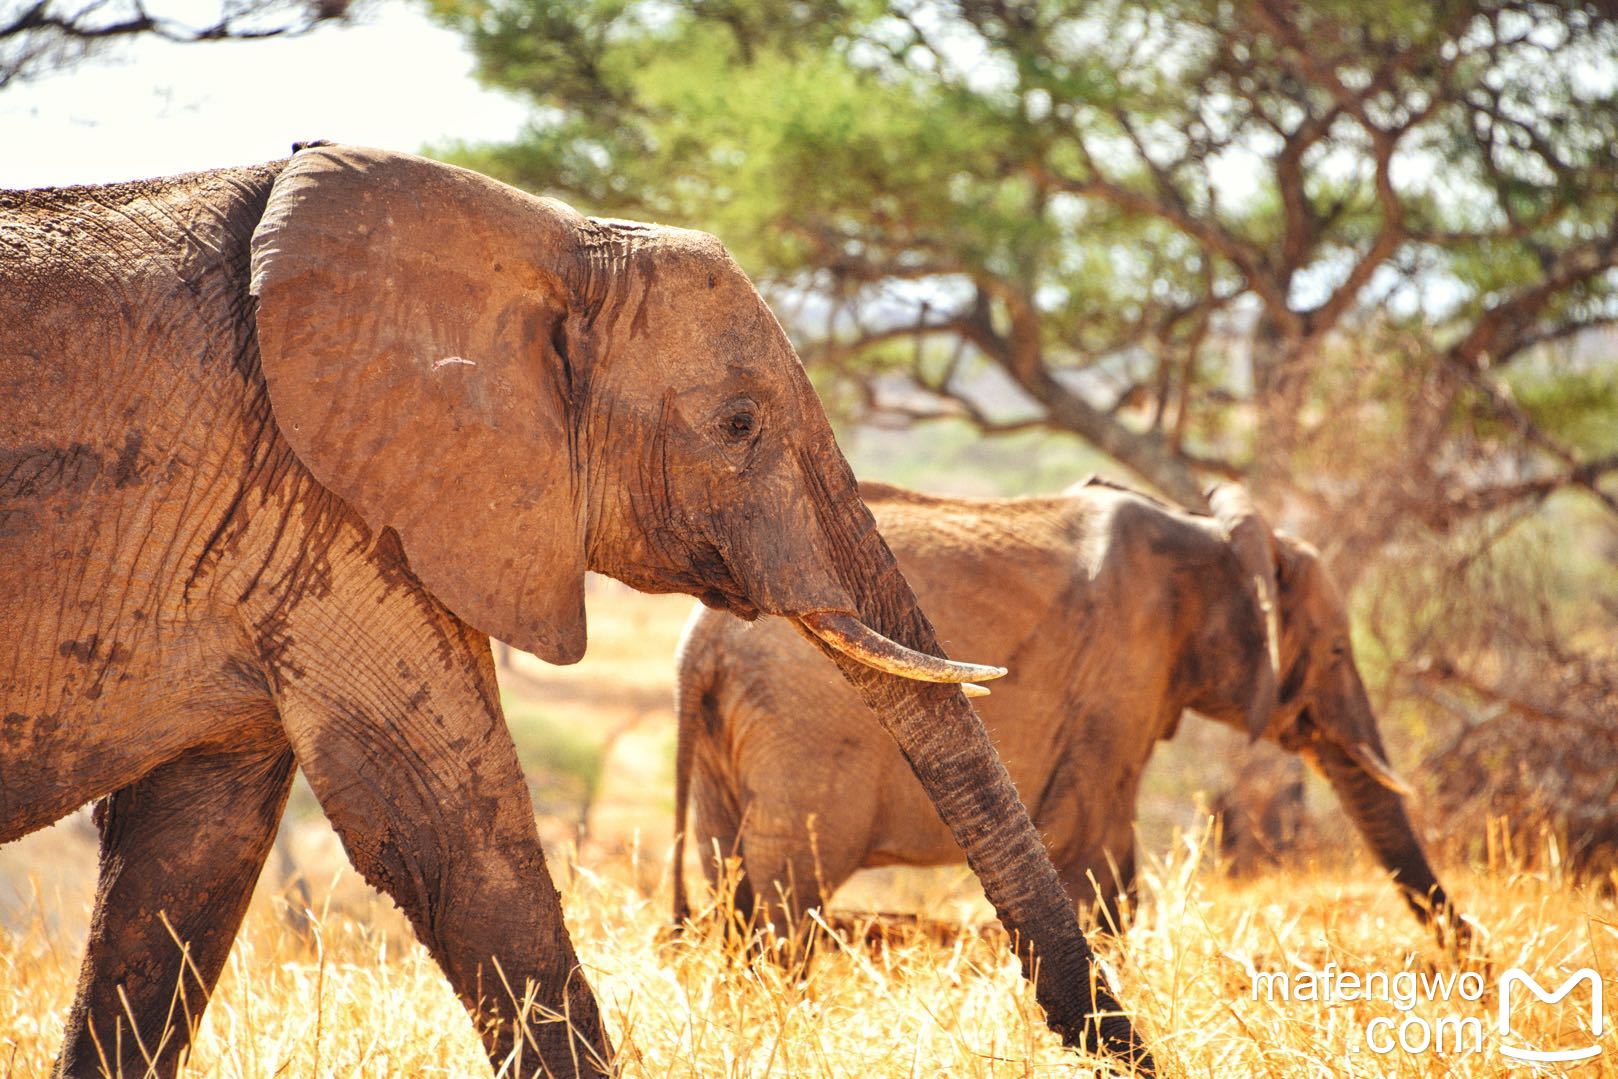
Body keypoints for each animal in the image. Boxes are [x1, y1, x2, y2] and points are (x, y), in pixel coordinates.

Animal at [0, 145, 1152, 1079]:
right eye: (740, 423)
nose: (1126, 1050)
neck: (545, 238)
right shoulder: (326, 498)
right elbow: (454, 833)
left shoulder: (287, 519)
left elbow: (186, 859)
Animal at [669, 478, 1469, 944]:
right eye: (1335, 649)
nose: (1472, 960)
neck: (1208, 536)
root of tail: (698, 645)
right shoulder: (1121, 670)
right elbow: (1092, 857)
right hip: (805, 734)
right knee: (787, 892)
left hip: (725, 742)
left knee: (729, 882)